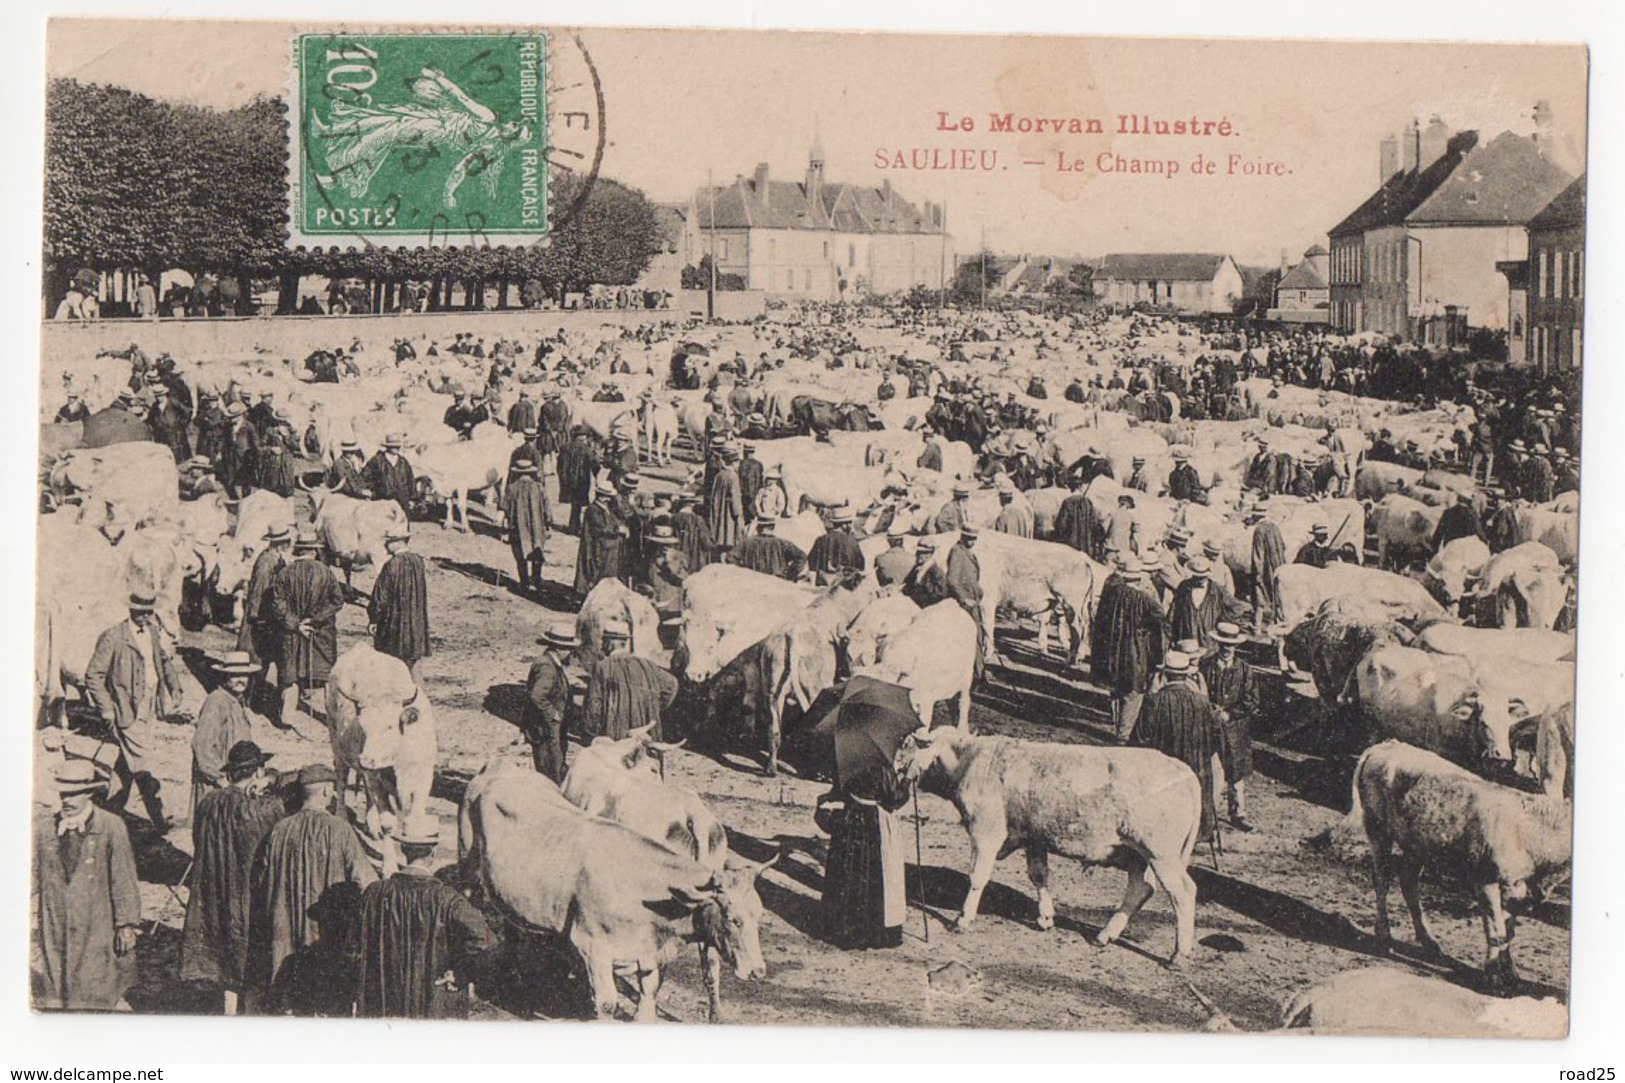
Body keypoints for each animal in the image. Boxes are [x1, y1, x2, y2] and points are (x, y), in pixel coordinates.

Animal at [903, 725, 1209, 962]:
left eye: (907, 746)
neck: (970, 760)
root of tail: (1183, 770)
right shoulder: (1034, 837)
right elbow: (1039, 875)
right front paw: (1046, 917)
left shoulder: (985, 830)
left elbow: (978, 876)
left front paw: (963, 919)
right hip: (1137, 855)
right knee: (1140, 889)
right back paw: (1104, 935)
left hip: (1161, 854)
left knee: (1183, 892)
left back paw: (1179, 954)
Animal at [1352, 738, 1566, 982]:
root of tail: (1384, 746)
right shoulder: (1485, 877)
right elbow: (1495, 927)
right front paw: (1492, 973)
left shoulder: (1516, 887)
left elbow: (1507, 928)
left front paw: (1510, 971)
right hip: (1378, 829)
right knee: (1382, 880)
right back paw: (1384, 937)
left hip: (1418, 844)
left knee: (1408, 882)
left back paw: (1430, 944)